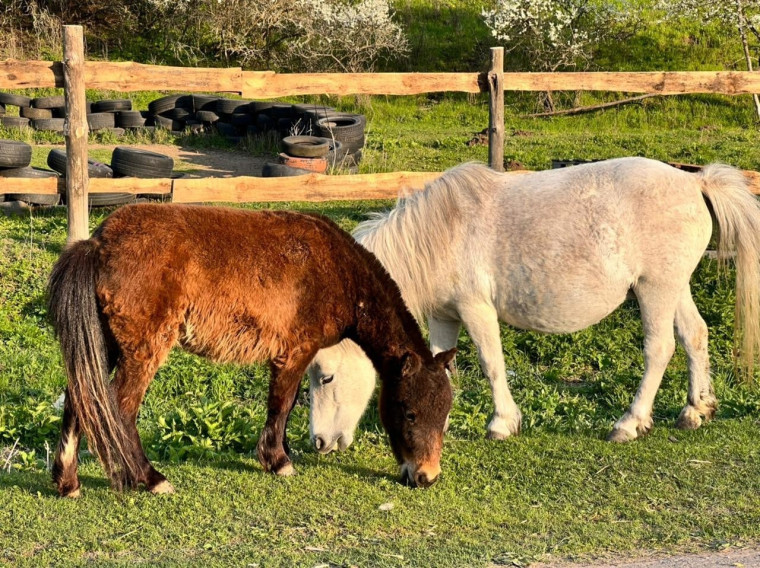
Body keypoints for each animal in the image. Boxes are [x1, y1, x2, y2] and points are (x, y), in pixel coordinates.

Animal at [49, 205, 458, 496]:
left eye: (445, 415)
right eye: (409, 413)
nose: (427, 476)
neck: (335, 267)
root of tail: (97, 244)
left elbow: (286, 406)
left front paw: (280, 454)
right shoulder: (296, 351)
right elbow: (282, 404)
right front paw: (278, 461)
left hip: (105, 345)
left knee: (79, 399)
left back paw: (68, 483)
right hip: (142, 351)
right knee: (119, 410)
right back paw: (151, 480)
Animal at [308, 158, 760, 454]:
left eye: (326, 376)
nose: (319, 442)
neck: (442, 234)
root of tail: (693, 181)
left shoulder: (476, 310)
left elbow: (491, 364)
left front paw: (502, 424)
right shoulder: (444, 315)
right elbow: (439, 364)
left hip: (654, 291)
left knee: (660, 349)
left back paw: (629, 423)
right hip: (674, 288)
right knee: (694, 336)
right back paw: (696, 410)